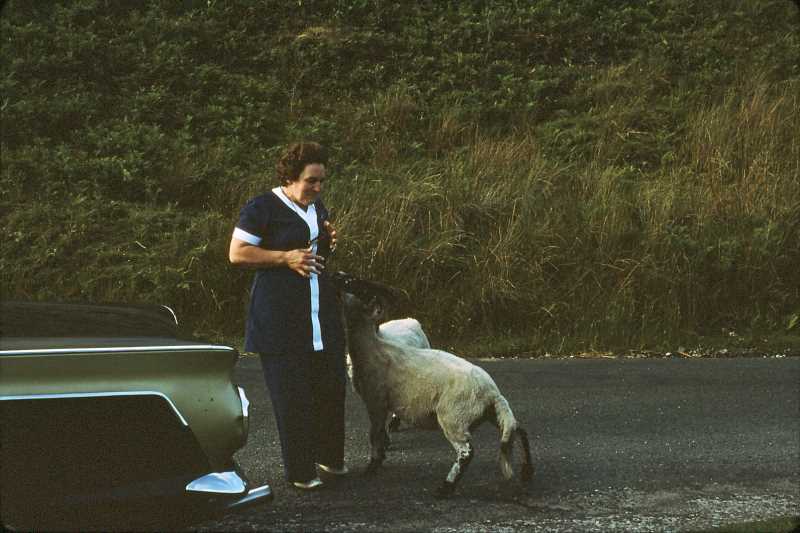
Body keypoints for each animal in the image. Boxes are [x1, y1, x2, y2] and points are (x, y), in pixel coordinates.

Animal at [331, 272, 533, 497]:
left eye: (355, 285)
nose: (335, 275)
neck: (373, 348)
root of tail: (493, 393)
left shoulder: (376, 401)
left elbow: (374, 434)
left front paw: (372, 467)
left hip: (453, 417)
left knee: (467, 451)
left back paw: (445, 488)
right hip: (489, 414)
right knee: (516, 429)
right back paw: (527, 472)